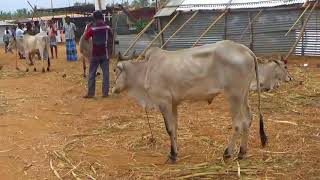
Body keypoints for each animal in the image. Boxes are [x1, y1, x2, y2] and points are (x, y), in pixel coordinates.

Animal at [112, 40, 268, 163]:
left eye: (115, 70)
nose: (114, 89)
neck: (146, 70)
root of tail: (245, 49)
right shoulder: (173, 104)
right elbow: (175, 127)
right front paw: (175, 151)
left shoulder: (164, 102)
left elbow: (169, 129)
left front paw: (173, 155)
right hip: (243, 96)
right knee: (248, 119)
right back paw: (242, 153)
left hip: (234, 95)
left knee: (238, 123)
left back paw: (228, 153)